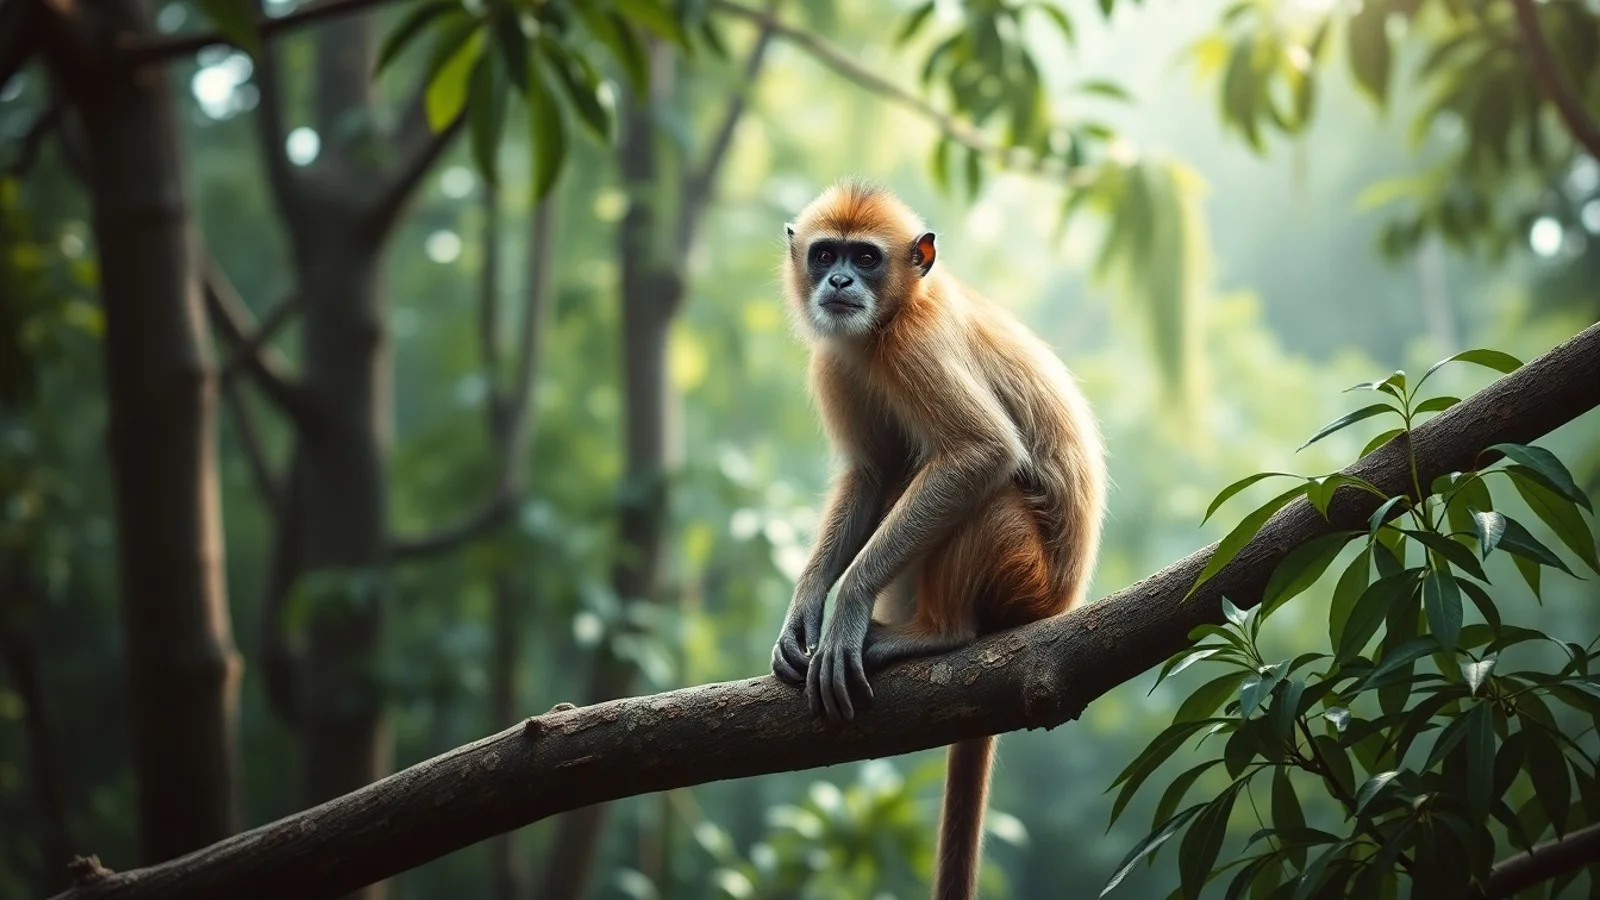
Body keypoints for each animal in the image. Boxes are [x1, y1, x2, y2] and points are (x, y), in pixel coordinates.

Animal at [768, 178, 1107, 900]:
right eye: (826, 253)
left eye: (866, 258)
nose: (839, 281)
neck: (891, 317)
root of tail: (1061, 601)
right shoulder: (838, 358)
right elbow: (872, 475)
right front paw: (805, 608)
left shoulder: (912, 345)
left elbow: (982, 453)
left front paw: (845, 610)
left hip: (1025, 578)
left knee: (989, 490)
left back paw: (936, 633)